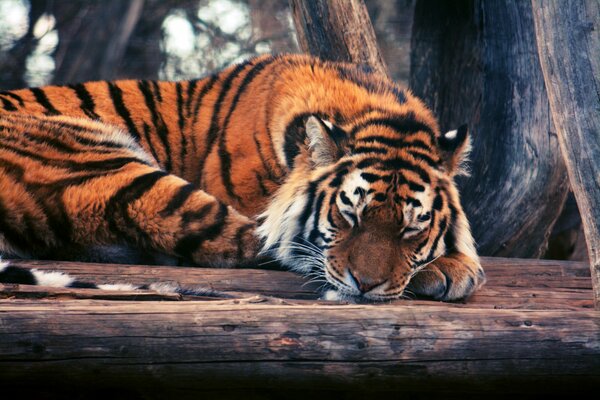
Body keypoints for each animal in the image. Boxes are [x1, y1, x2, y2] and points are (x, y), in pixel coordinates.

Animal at [0, 54, 482, 302]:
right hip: (111, 167)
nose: (365, 286)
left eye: (412, 228)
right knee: (244, 244)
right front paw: (452, 269)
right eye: (349, 215)